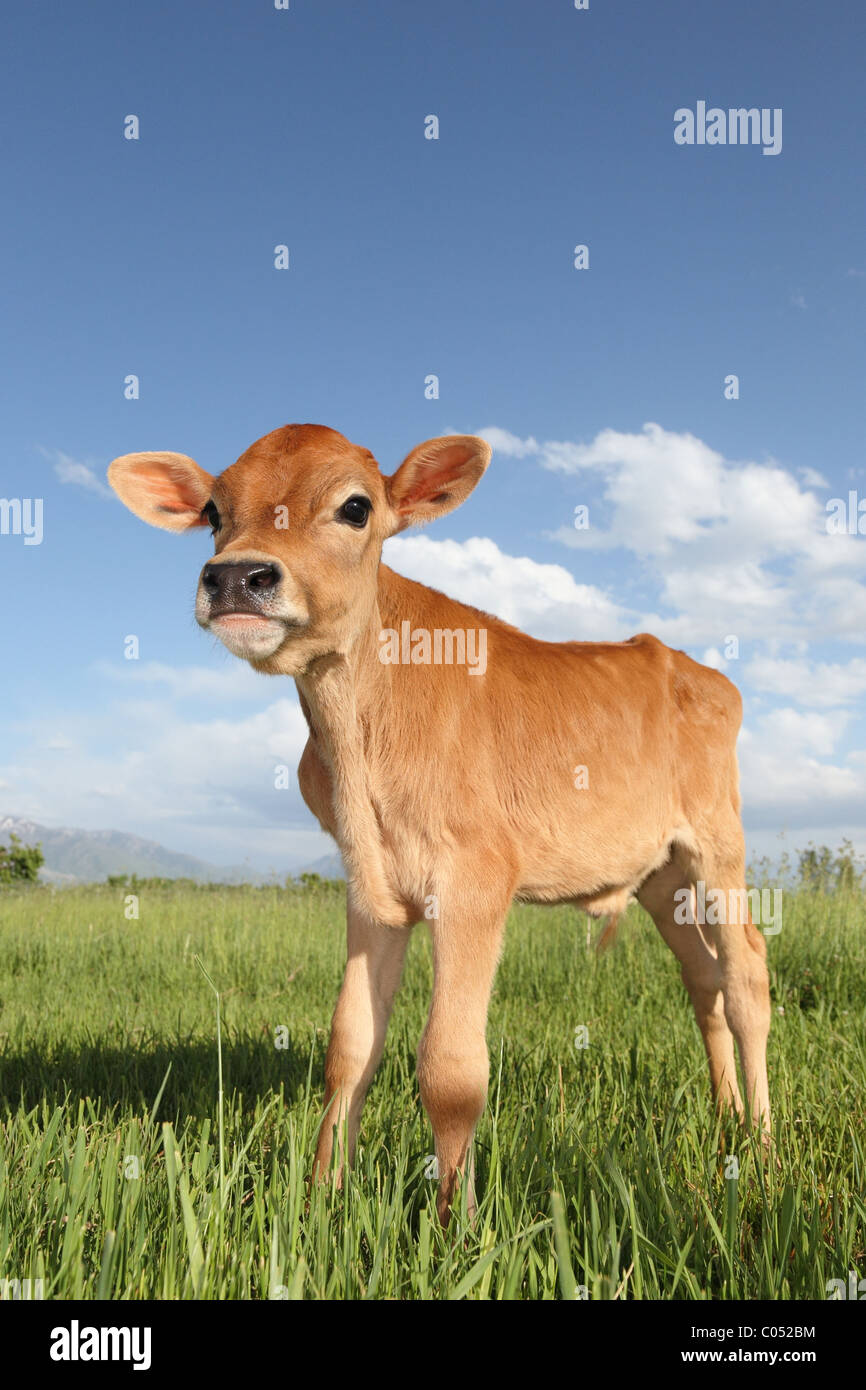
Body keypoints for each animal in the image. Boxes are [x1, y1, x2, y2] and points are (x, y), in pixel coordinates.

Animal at [108, 419, 772, 1217]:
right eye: (213, 510)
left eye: (356, 507)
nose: (237, 578)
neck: (358, 736)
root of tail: (690, 665)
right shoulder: (371, 884)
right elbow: (349, 1046)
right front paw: (323, 1196)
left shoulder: (476, 877)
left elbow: (451, 1069)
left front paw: (458, 1221)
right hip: (657, 871)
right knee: (703, 977)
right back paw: (726, 1116)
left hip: (717, 842)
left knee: (746, 974)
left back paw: (763, 1144)